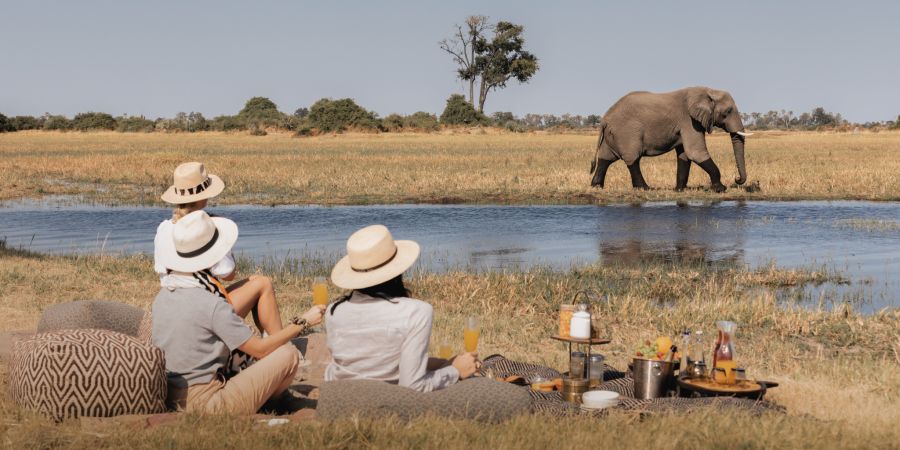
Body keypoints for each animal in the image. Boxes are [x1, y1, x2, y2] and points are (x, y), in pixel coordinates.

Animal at [589, 86, 751, 192]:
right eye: (727, 112)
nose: (736, 179)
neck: (707, 91)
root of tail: (605, 119)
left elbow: (684, 155)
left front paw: (679, 190)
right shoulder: (689, 121)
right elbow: (695, 152)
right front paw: (721, 189)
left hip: (613, 134)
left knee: (606, 158)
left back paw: (596, 187)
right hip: (627, 132)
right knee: (632, 158)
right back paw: (645, 189)